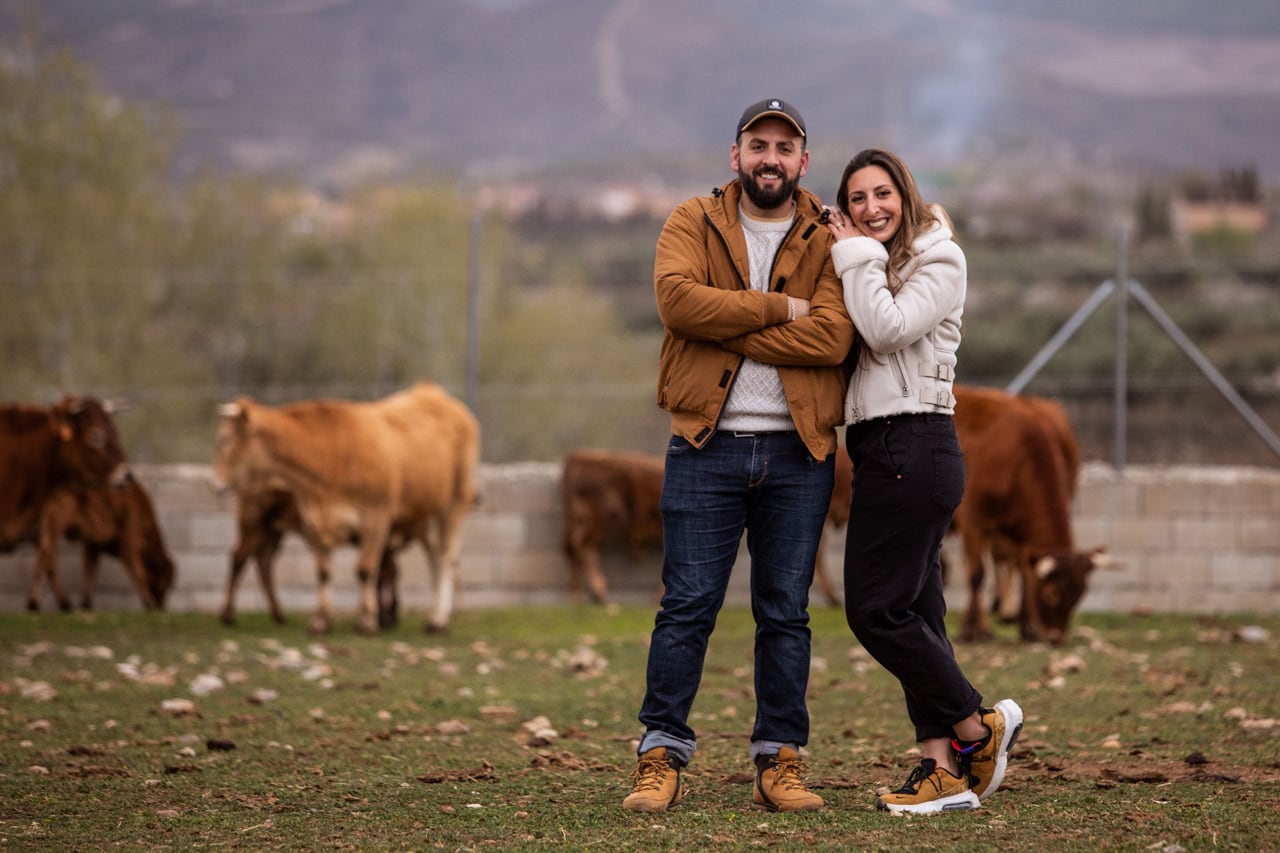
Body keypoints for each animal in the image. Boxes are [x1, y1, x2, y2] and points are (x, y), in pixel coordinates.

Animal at [33, 479, 175, 612]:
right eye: (166, 583)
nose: (161, 607)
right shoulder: (128, 544)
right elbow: (139, 573)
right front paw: (150, 604)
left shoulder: (93, 545)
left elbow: (90, 571)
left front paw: (86, 605)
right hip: (56, 527)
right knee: (44, 558)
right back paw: (35, 603)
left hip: (49, 531)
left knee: (49, 561)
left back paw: (63, 604)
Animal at [215, 379, 481, 630]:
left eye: (225, 439)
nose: (214, 481)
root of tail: (434, 393)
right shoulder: (314, 523)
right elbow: (324, 572)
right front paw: (321, 621)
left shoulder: (376, 518)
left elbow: (366, 570)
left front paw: (368, 621)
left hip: (452, 504)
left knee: (446, 557)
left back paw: (438, 620)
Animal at [565, 445, 844, 604]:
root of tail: (578, 459)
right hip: (602, 517)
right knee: (579, 545)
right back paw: (596, 590)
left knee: (573, 547)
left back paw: (581, 593)